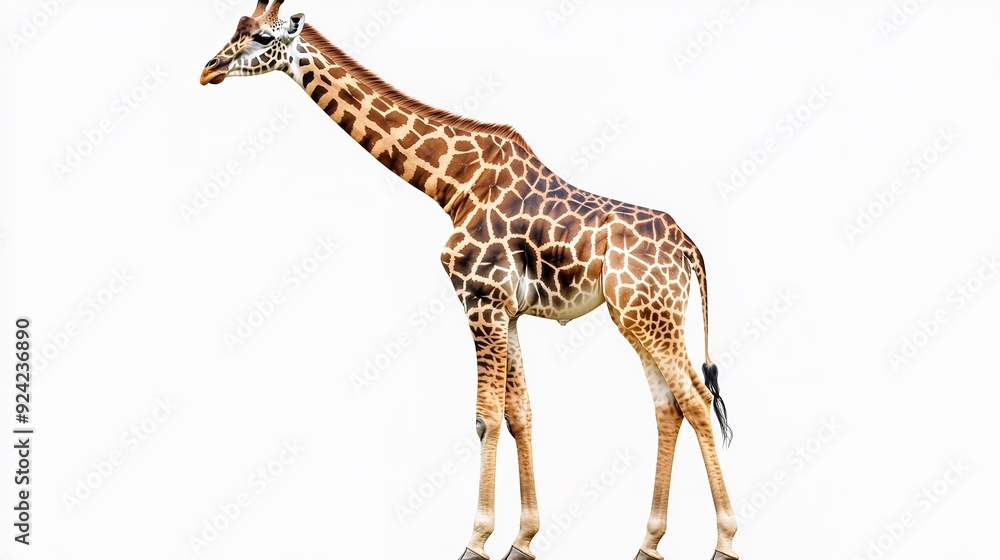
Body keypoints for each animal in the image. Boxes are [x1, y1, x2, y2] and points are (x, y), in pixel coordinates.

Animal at [201, 2, 739, 559]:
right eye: (235, 29)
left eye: (263, 37)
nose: (208, 71)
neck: (453, 184)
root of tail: (689, 248)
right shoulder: (507, 310)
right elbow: (519, 413)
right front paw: (522, 539)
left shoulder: (479, 298)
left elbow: (485, 417)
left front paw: (476, 540)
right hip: (637, 316)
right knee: (668, 406)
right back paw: (648, 542)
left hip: (651, 314)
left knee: (696, 400)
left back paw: (724, 540)